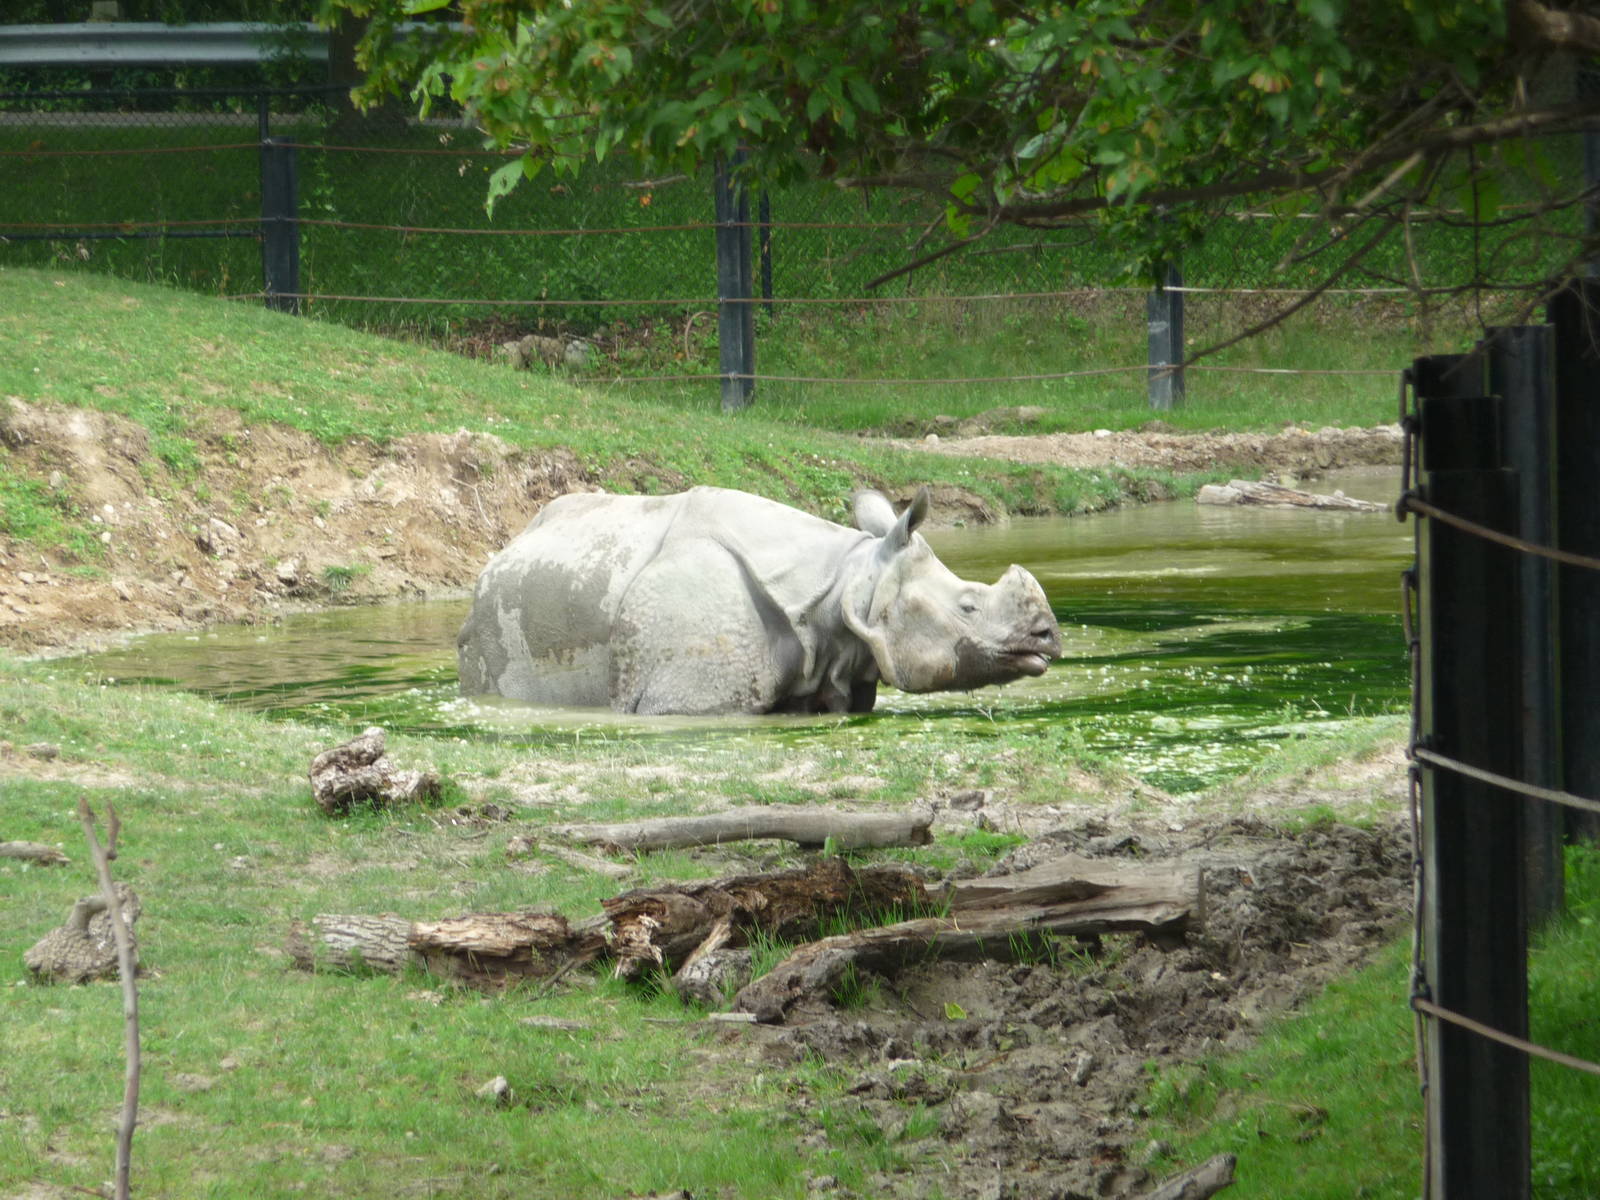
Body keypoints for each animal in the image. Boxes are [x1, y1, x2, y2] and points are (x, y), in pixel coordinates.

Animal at [456, 485, 1061, 716]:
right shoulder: (687, 699)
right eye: (967, 606)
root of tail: (499, 553)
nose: (1049, 638)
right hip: (489, 620)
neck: (845, 584)